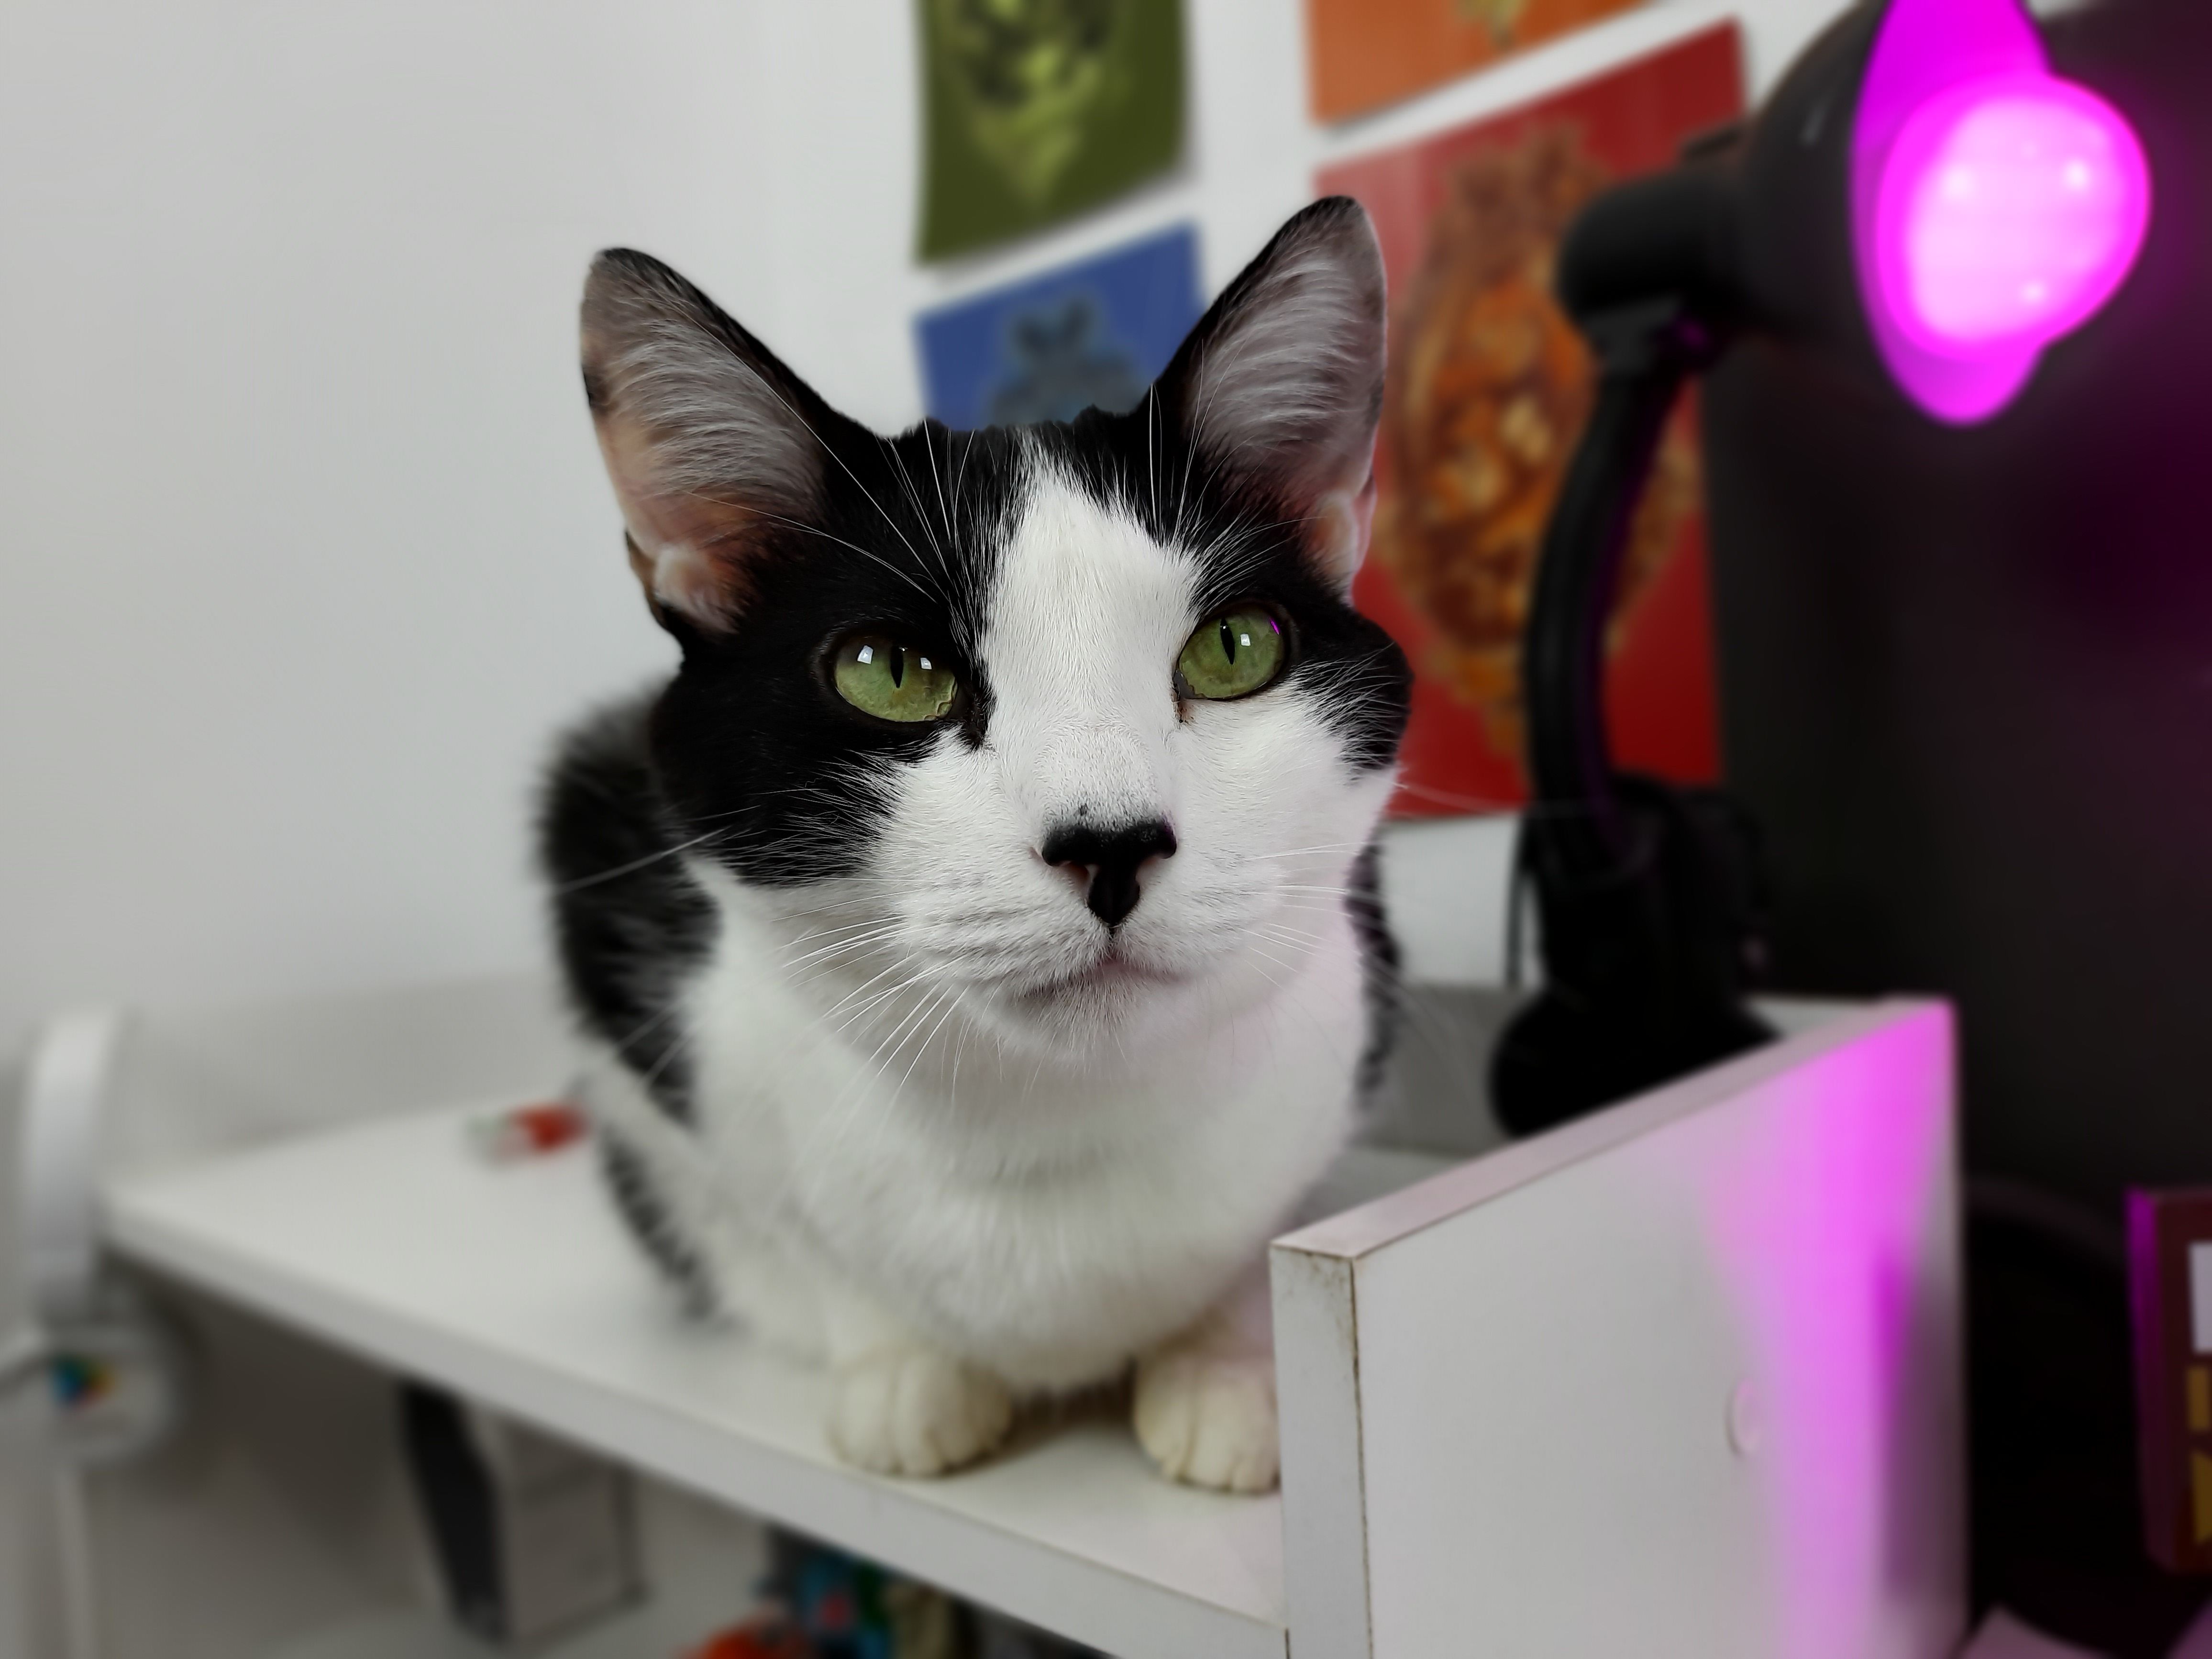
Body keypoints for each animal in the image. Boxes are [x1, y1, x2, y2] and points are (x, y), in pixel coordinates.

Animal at [538, 197, 1410, 1491]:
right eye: (889, 672)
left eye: (1234, 649)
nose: (1111, 841)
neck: (1048, 1129)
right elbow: (791, 1231)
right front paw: (901, 1367)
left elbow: (1266, 1219)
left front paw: (1225, 1368)